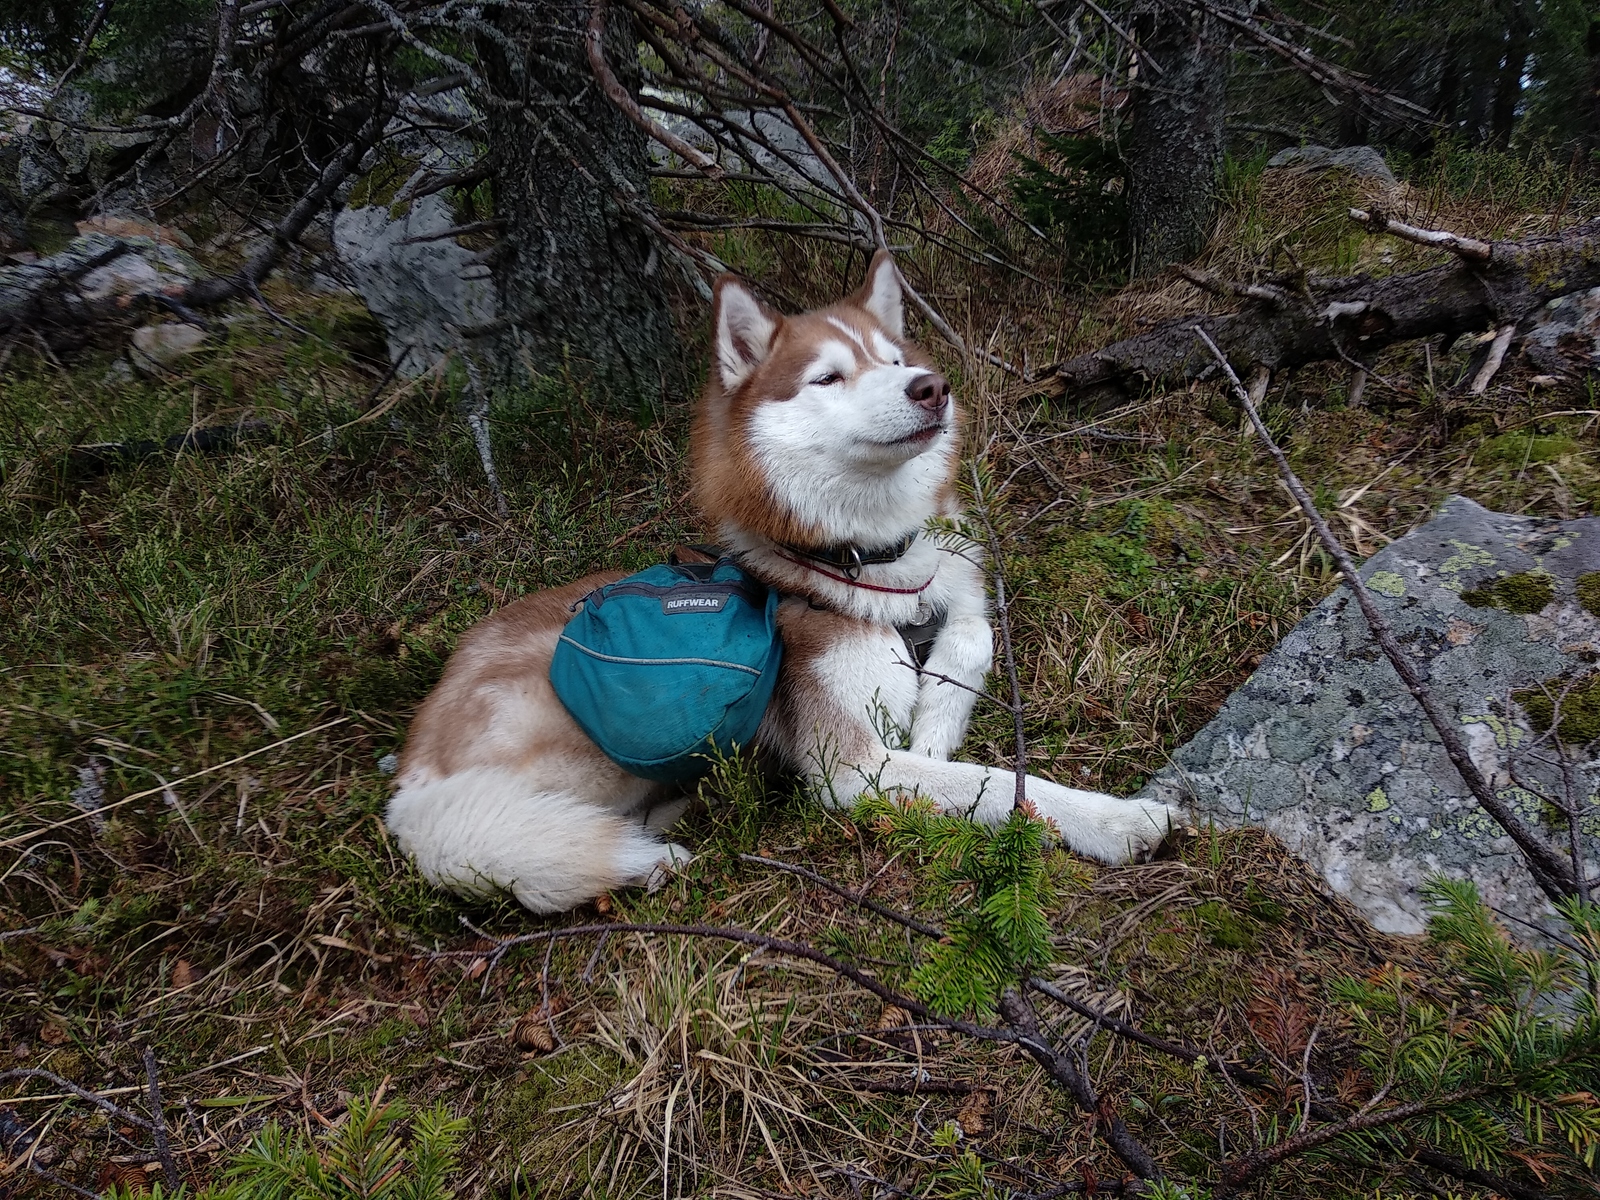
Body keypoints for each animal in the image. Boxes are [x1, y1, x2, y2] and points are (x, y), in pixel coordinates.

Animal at [388, 254, 1190, 908]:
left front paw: (933, 729)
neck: (871, 564)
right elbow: (1001, 783)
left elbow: (971, 643)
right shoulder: (853, 768)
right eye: (828, 377)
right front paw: (1116, 818)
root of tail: (412, 776)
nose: (931, 387)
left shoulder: (958, 603)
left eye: (893, 359)